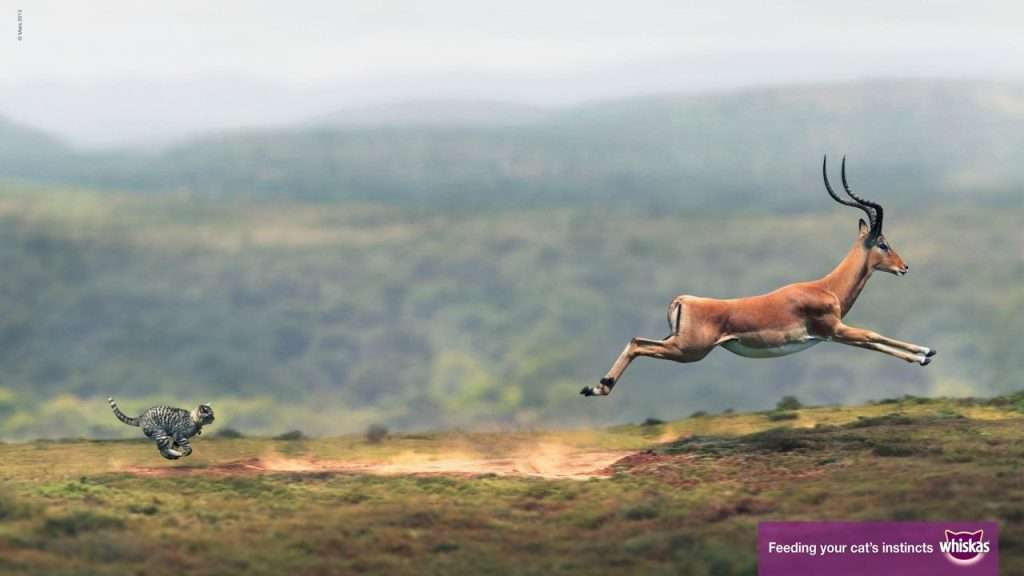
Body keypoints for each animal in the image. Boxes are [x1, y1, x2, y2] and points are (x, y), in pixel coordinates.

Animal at [582, 156, 936, 398]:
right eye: (884, 243)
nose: (904, 267)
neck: (827, 288)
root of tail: (682, 300)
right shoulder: (835, 329)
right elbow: (874, 335)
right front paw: (925, 353)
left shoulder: (833, 335)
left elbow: (874, 343)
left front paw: (923, 355)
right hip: (688, 351)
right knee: (637, 344)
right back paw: (599, 387)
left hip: (678, 344)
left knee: (637, 340)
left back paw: (596, 387)